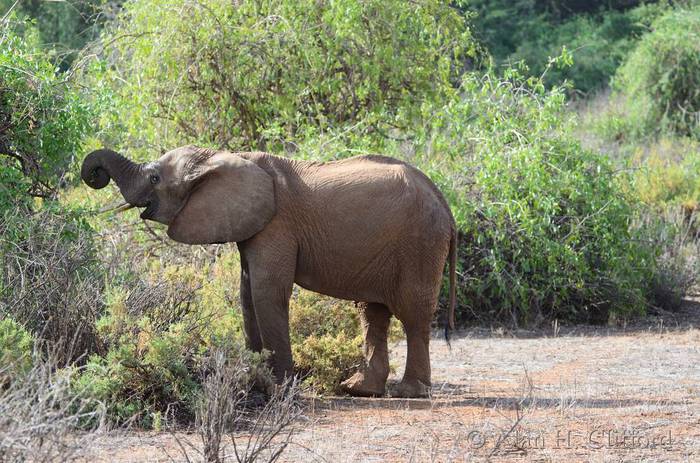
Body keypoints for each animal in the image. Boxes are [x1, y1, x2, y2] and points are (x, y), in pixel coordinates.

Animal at [82, 146, 456, 398]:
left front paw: (279, 389)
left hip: (420, 242)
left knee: (412, 313)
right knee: (372, 312)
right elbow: (247, 294)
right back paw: (359, 389)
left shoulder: (277, 225)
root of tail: (444, 200)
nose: (94, 175)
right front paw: (255, 380)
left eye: (155, 178)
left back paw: (410, 392)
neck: (227, 155)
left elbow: (267, 291)